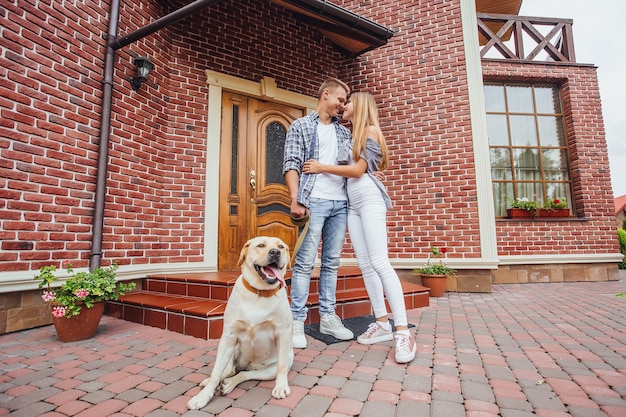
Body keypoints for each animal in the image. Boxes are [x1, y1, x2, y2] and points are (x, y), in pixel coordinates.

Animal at [185, 236, 292, 408]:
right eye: (261, 245)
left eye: (281, 247)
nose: (275, 252)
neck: (259, 293)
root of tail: (249, 364)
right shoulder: (229, 336)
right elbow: (216, 372)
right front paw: (203, 396)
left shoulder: (283, 334)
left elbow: (281, 367)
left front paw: (281, 386)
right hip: (232, 348)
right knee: (229, 370)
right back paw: (214, 381)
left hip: (268, 370)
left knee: (246, 374)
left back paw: (229, 384)